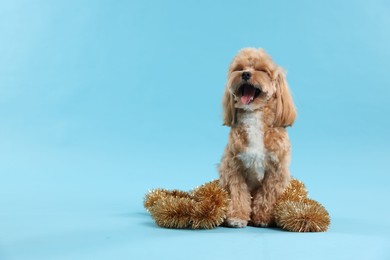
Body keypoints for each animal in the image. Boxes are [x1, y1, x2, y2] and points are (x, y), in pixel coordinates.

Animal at [219, 47, 296, 228]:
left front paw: (263, 217)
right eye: (239, 68)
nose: (246, 74)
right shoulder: (233, 167)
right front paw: (238, 216)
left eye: (262, 70)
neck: (254, 115)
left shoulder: (276, 170)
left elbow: (267, 195)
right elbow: (239, 194)